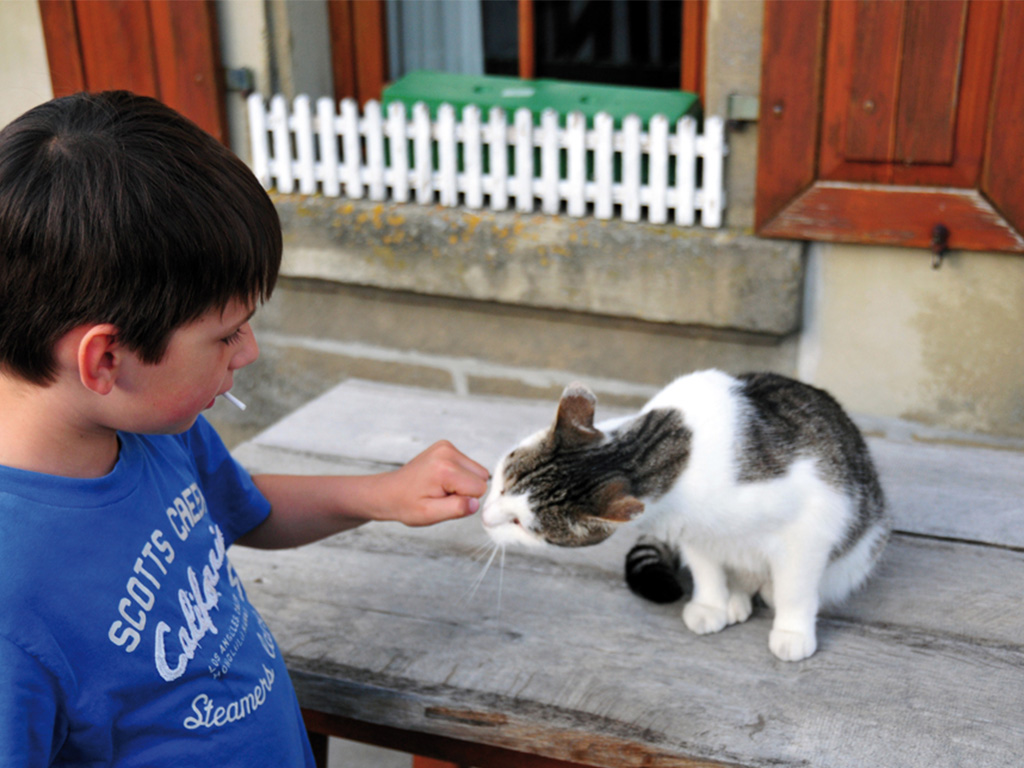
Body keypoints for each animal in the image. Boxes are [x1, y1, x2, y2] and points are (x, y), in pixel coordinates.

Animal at [479, 368, 888, 663]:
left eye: (523, 526)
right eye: (502, 485)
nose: (485, 518)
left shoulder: (811, 525)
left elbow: (796, 589)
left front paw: (792, 631)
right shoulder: (694, 532)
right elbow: (707, 570)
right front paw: (711, 604)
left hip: (860, 550)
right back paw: (736, 597)